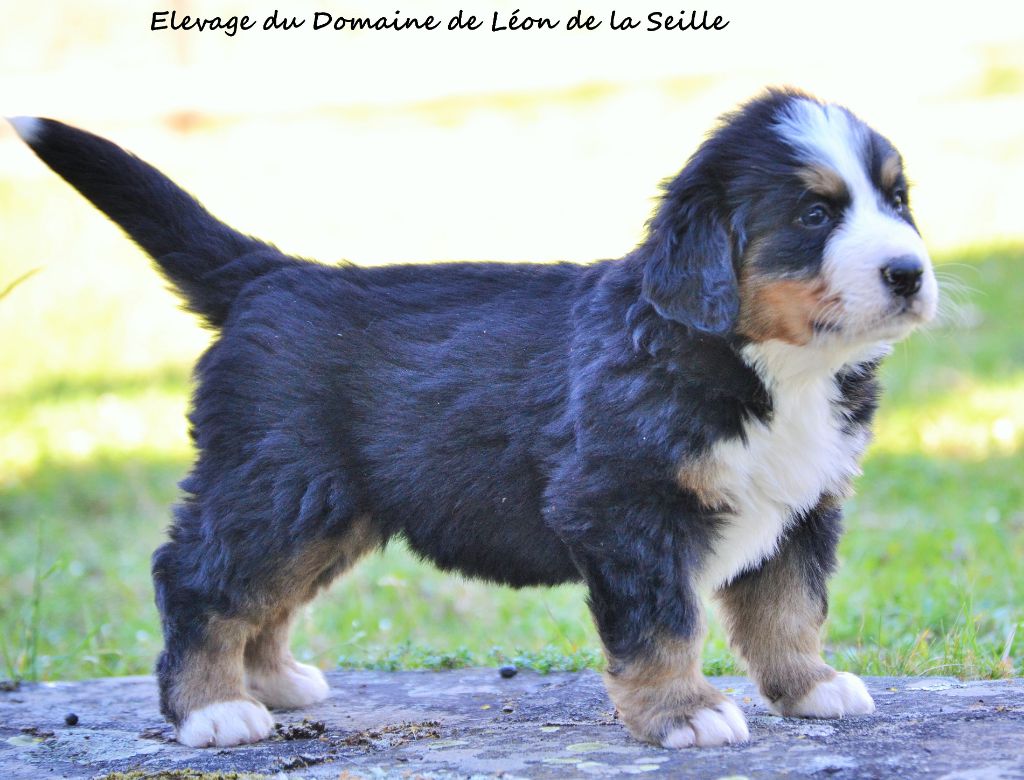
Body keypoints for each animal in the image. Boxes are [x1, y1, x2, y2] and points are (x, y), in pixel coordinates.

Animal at [10, 88, 937, 749]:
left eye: (898, 200)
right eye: (814, 214)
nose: (910, 272)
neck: (768, 365)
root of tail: (274, 274)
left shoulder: (801, 506)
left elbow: (789, 609)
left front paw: (812, 687)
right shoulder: (624, 508)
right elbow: (664, 624)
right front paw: (685, 713)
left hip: (332, 508)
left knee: (264, 595)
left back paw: (271, 681)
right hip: (276, 485)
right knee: (197, 577)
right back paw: (214, 711)